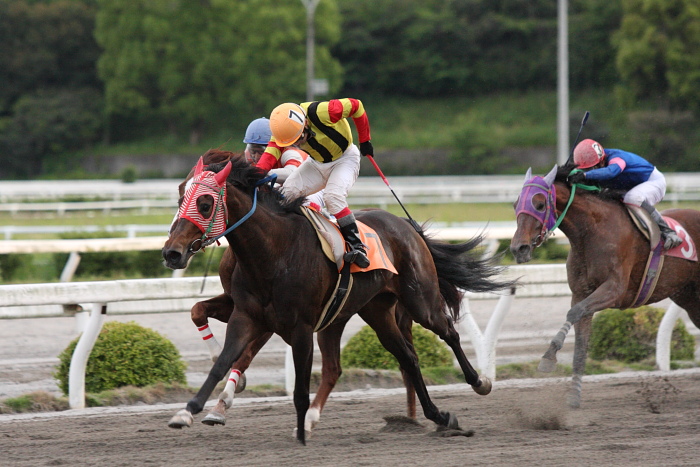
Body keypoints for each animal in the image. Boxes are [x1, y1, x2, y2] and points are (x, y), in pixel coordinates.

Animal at [164, 155, 516, 444]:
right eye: (180, 196)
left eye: (205, 203)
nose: (171, 252)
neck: (274, 252)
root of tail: (405, 224)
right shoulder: (247, 316)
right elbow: (221, 359)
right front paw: (188, 411)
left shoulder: (300, 327)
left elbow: (297, 386)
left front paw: (300, 432)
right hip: (372, 312)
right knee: (404, 358)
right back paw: (439, 416)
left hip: (420, 301)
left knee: (448, 332)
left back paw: (479, 381)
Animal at [508, 166, 700, 408]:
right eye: (516, 204)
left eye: (540, 204)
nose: (518, 249)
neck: (590, 231)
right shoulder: (581, 292)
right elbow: (580, 344)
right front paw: (574, 395)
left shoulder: (614, 290)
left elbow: (574, 312)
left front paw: (548, 357)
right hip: (689, 298)